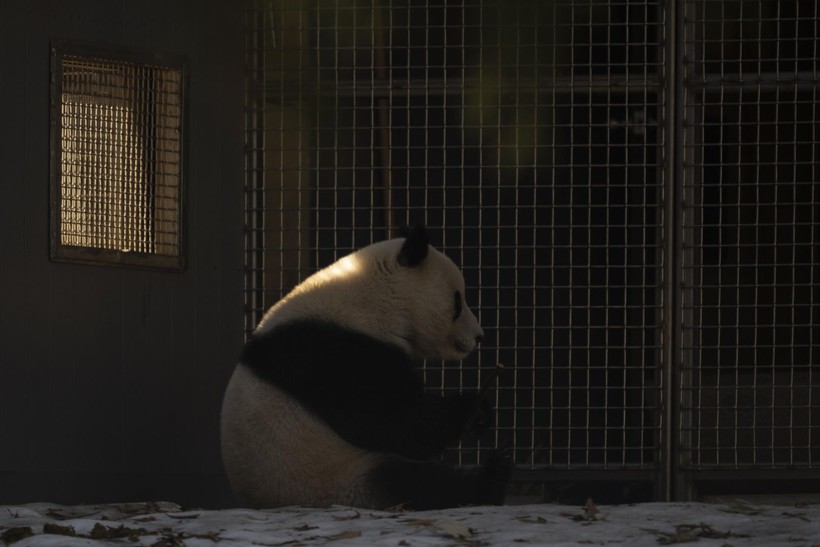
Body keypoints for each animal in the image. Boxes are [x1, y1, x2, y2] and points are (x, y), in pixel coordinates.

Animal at [221, 226, 510, 510]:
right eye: (458, 302)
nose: (479, 336)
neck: (379, 296)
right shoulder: (336, 350)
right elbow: (392, 421)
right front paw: (472, 408)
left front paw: (482, 415)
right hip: (336, 479)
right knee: (413, 482)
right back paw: (491, 478)